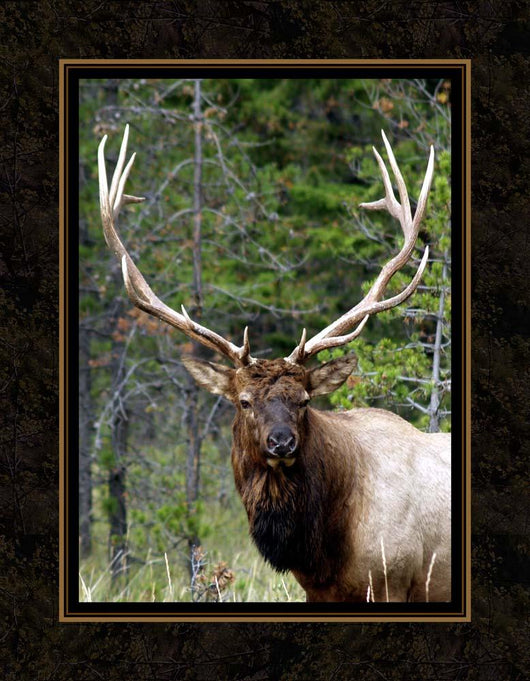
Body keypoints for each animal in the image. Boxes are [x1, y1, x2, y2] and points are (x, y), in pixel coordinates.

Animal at [97, 125, 451, 602]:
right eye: (244, 401)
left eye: (304, 400)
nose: (281, 441)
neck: (324, 548)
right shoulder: (320, 592)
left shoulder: (393, 581)